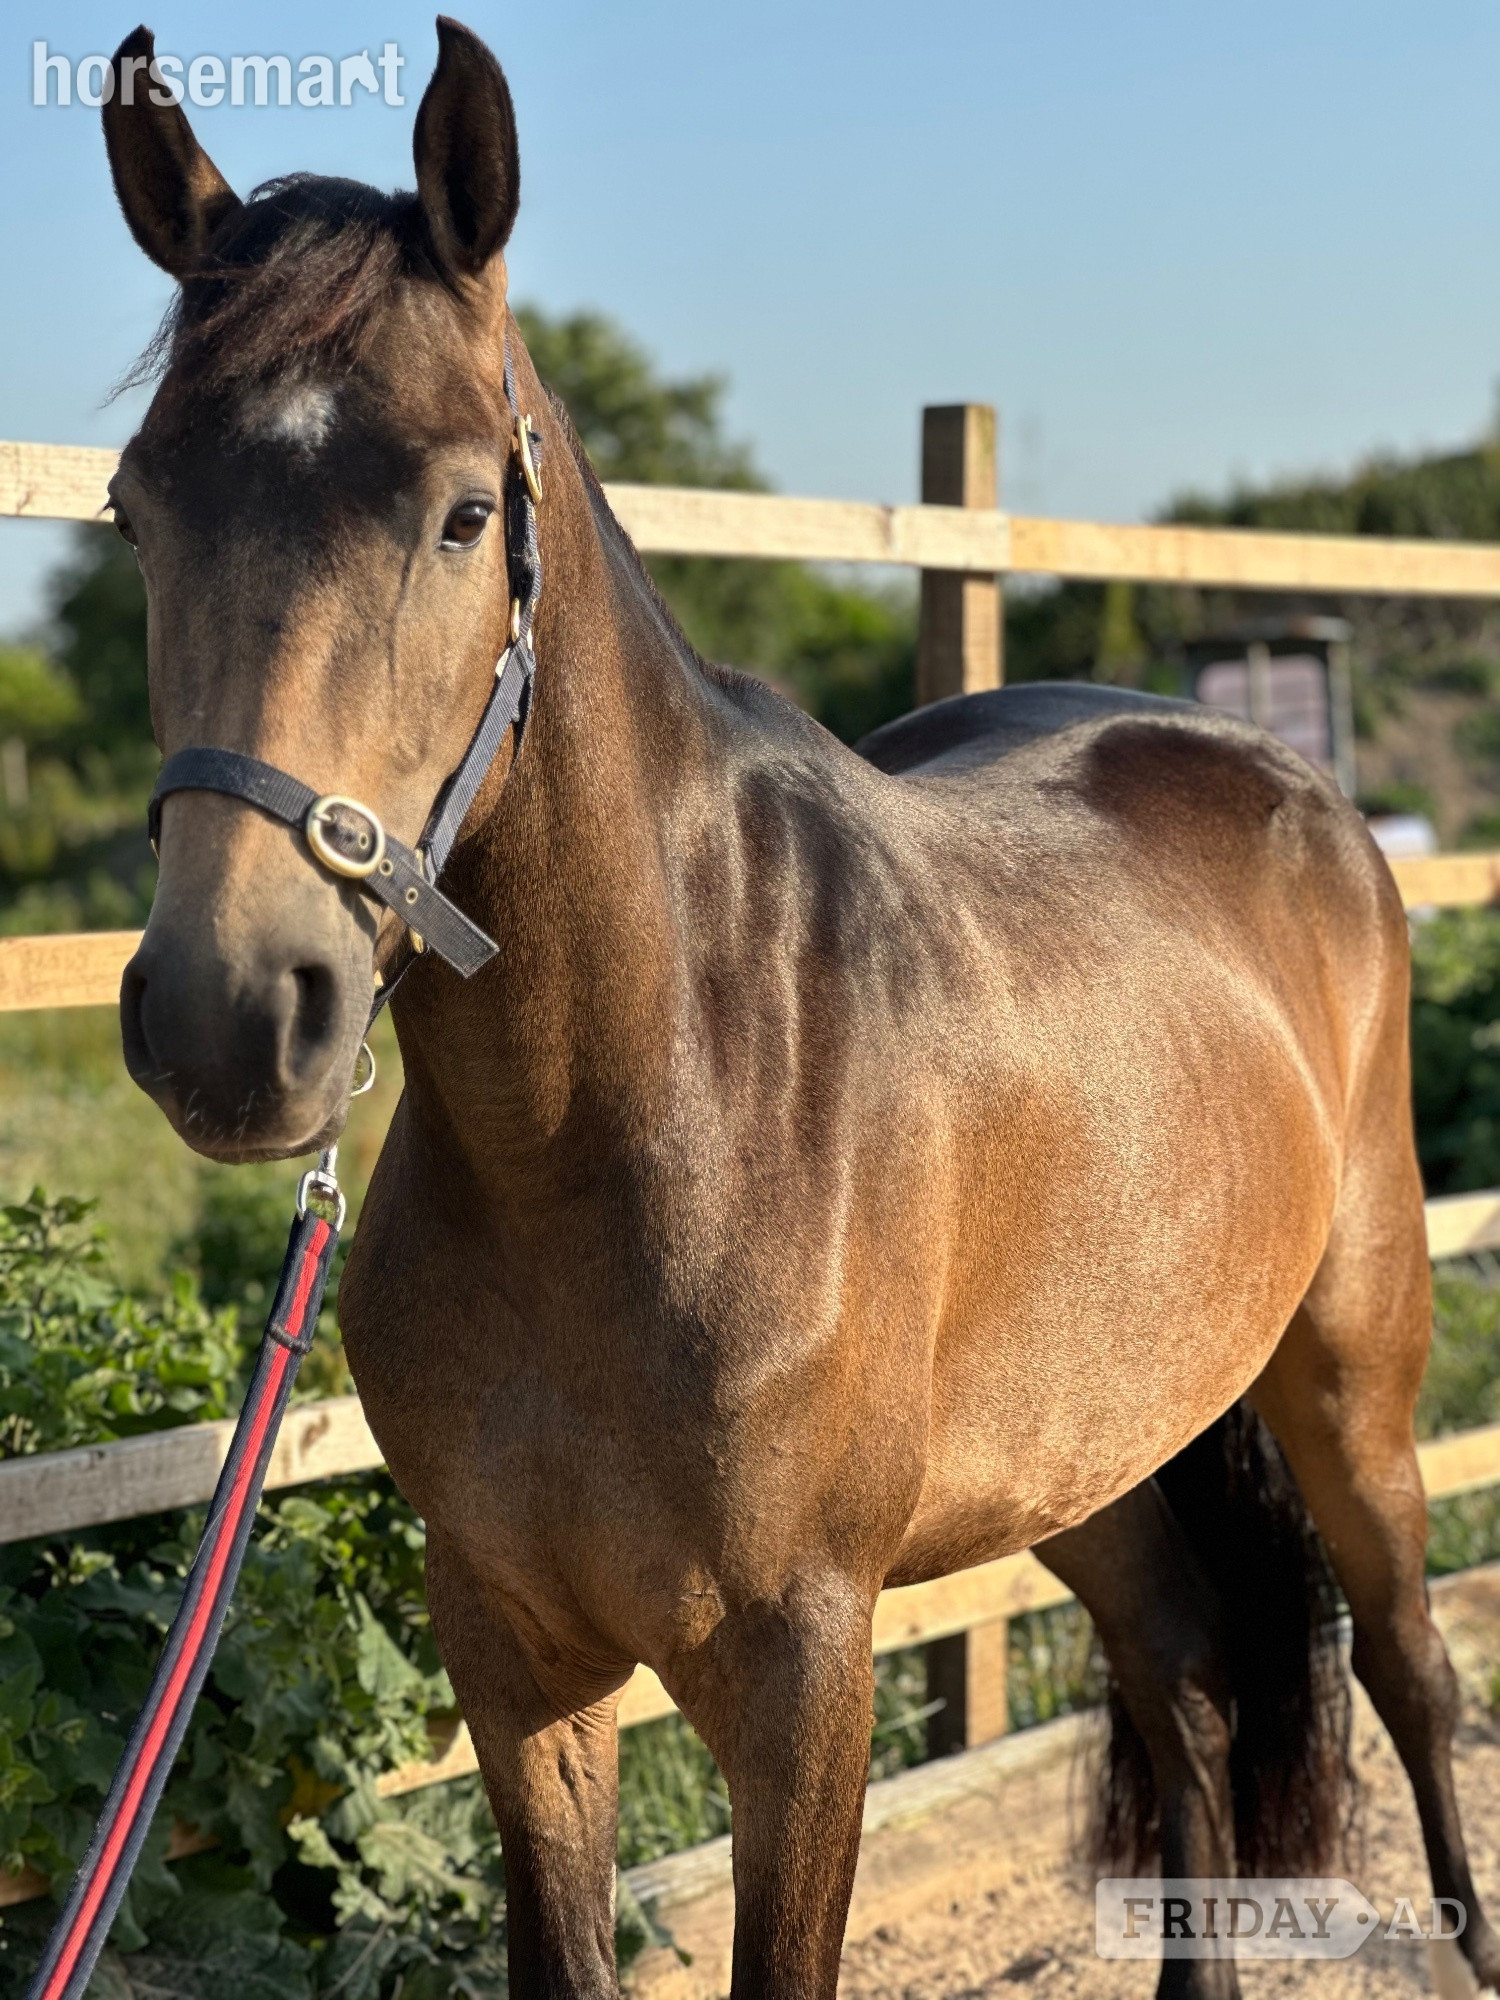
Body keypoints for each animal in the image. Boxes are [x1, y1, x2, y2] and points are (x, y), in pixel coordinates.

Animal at [99, 19, 1496, 1997]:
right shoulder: (517, 1656)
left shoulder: (801, 1670)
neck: (641, 1111)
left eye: (463, 512)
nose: (231, 1015)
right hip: (1086, 1452)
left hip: (1353, 1370)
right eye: (138, 508)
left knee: (1410, 1670)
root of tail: (1281, 782)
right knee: (1183, 1677)